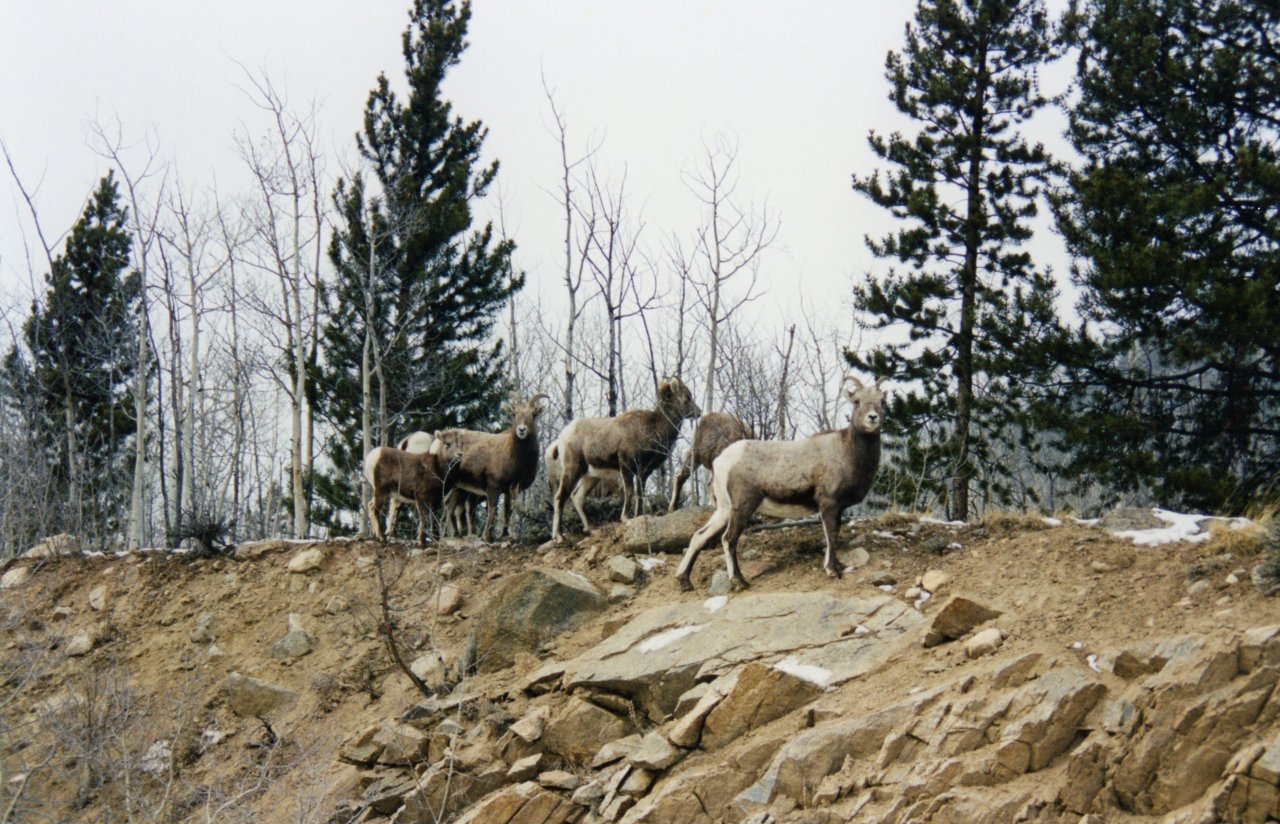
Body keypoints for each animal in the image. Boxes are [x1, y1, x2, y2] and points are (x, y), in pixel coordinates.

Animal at [438, 394, 550, 541]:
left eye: (533, 414)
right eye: (514, 414)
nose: (521, 430)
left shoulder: (511, 490)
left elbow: (507, 511)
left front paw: (505, 535)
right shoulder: (493, 487)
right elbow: (492, 511)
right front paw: (487, 537)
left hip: (459, 488)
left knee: (450, 506)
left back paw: (454, 535)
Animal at [550, 377, 701, 542]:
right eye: (686, 397)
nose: (699, 412)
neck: (653, 429)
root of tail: (561, 438)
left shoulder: (643, 472)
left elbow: (640, 494)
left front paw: (638, 515)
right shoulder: (626, 465)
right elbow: (629, 491)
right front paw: (625, 517)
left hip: (591, 475)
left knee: (577, 496)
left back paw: (590, 529)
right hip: (573, 469)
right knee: (560, 497)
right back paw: (559, 536)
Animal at [675, 375, 885, 591]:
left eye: (882, 401)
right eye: (856, 401)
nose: (872, 418)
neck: (849, 452)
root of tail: (721, 461)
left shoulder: (839, 508)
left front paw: (839, 566)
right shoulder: (829, 503)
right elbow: (831, 535)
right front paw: (832, 571)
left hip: (724, 510)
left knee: (699, 536)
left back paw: (685, 581)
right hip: (742, 508)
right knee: (728, 539)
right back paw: (739, 581)